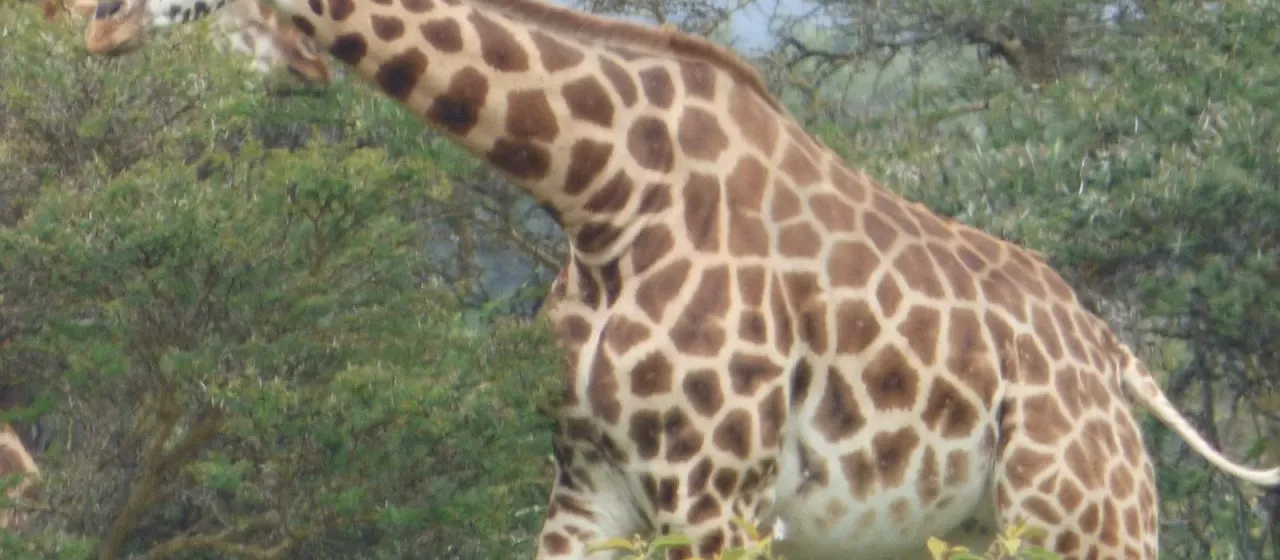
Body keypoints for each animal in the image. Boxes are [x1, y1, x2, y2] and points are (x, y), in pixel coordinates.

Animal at [77, 0, 1280, 558]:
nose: (93, 29)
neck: (600, 193)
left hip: (1082, 514)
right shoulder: (588, 485)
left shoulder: (719, 492)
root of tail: (1118, 362)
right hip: (992, 527)